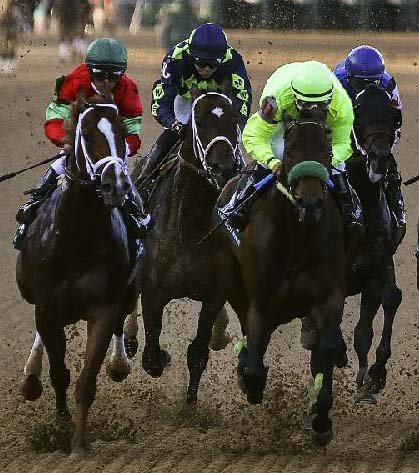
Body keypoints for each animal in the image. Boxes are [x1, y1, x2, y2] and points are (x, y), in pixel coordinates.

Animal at [16, 92, 141, 458]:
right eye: (86, 134)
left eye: (122, 132)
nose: (116, 185)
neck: (76, 239)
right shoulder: (46, 308)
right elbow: (60, 375)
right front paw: (59, 429)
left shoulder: (103, 308)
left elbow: (86, 381)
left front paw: (79, 445)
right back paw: (31, 377)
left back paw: (119, 363)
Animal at [133, 91, 248, 402]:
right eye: (199, 120)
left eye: (234, 117)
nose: (224, 166)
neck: (186, 229)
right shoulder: (152, 290)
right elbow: (151, 356)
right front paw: (161, 356)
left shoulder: (214, 295)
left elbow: (197, 352)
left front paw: (190, 404)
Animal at [218, 119, 346, 446]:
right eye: (289, 152)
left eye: (327, 151)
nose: (310, 203)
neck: (297, 241)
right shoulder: (260, 304)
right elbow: (254, 367)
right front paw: (250, 381)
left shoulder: (328, 296)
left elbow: (326, 348)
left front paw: (321, 419)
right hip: (232, 283)